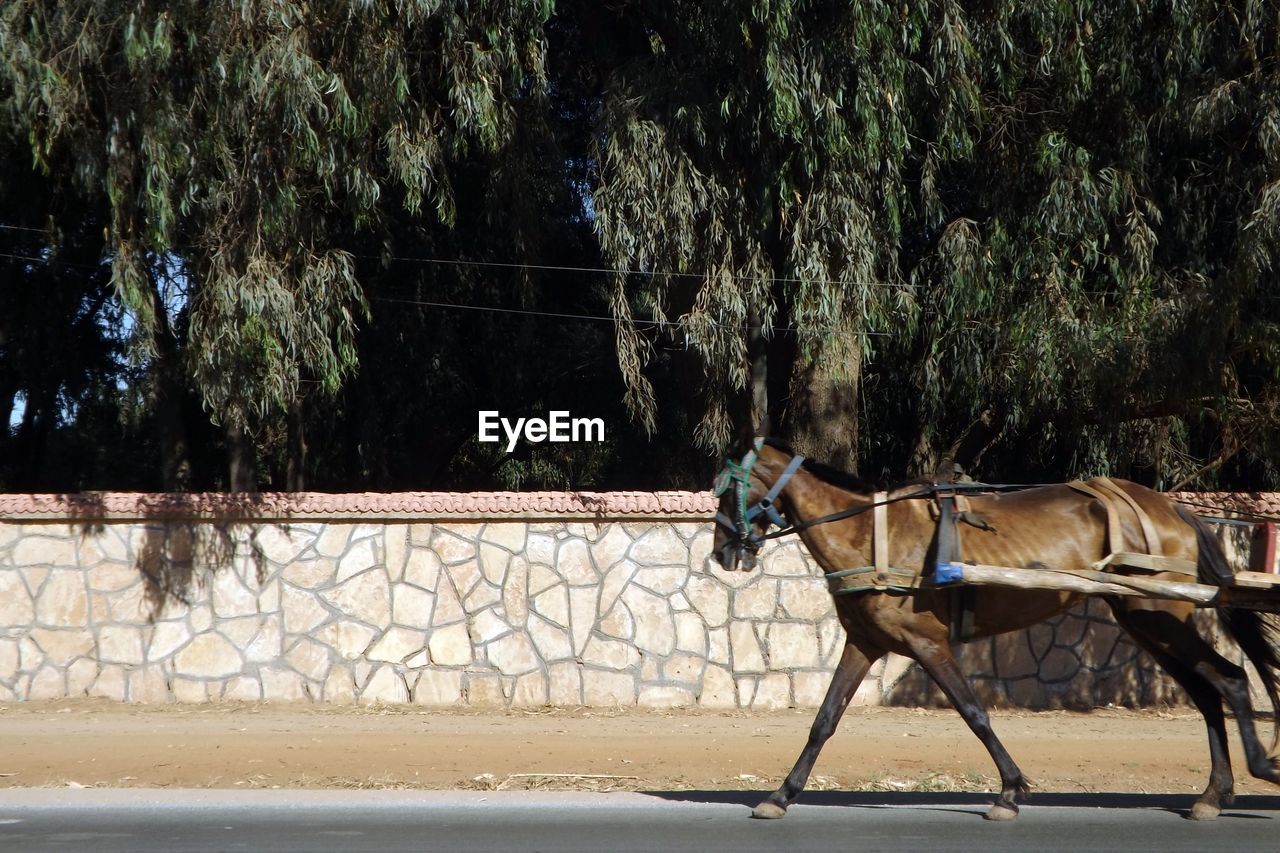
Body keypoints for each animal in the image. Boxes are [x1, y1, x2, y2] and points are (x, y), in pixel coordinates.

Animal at [711, 438, 1280, 819]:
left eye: (728, 488)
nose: (722, 553)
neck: (868, 534)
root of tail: (1174, 508)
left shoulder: (928, 643)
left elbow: (974, 713)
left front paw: (1009, 790)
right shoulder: (866, 642)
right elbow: (824, 720)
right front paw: (781, 794)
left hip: (1158, 613)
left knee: (1229, 679)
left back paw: (1257, 767)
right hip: (1144, 620)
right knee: (1207, 691)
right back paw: (1213, 794)